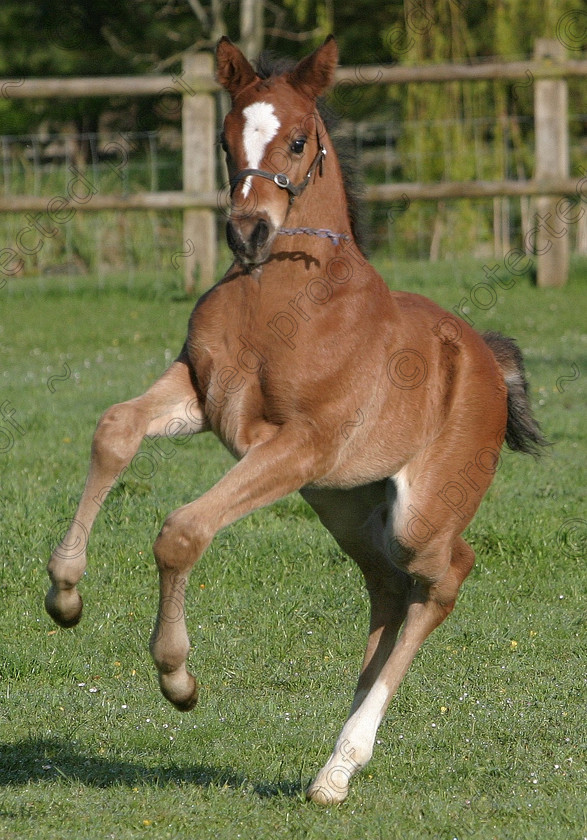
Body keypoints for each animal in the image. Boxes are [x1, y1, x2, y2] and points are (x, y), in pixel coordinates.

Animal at [47, 36, 548, 804]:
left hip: (413, 511)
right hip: (346, 506)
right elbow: (114, 431)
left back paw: (342, 763)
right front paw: (65, 594)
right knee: (388, 588)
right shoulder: (201, 392)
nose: (247, 231)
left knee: (443, 577)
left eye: (298, 140)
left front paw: (178, 678)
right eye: (225, 140)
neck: (281, 293)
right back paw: (335, 757)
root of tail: (488, 361)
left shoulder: (300, 444)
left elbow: (182, 532)